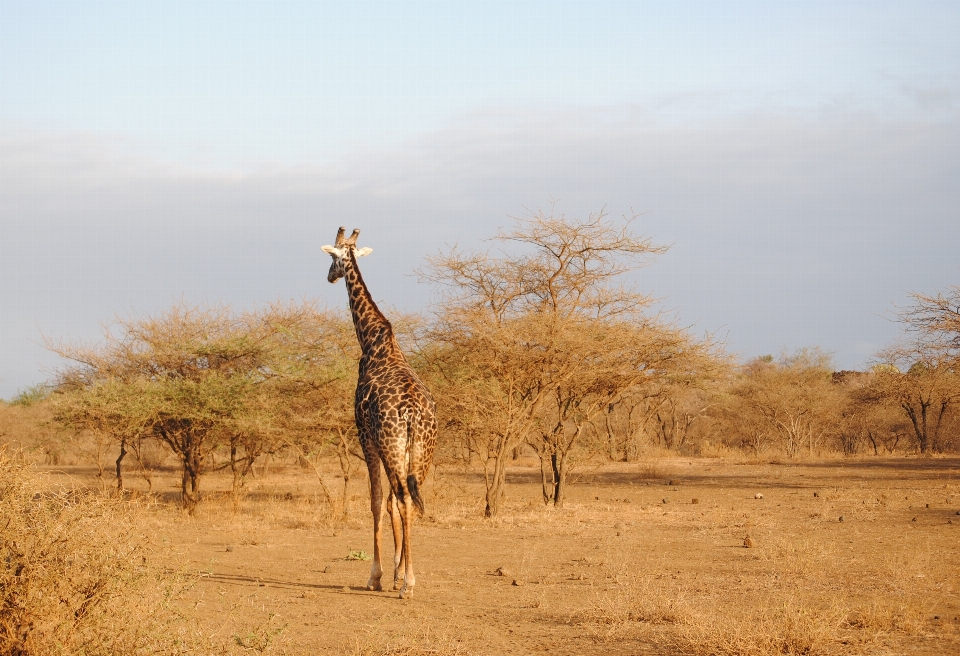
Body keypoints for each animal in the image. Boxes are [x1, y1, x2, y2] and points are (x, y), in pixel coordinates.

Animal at [324, 227, 440, 600]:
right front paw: (394, 569)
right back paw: (406, 577)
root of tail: (413, 414)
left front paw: (376, 575)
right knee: (410, 500)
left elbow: (376, 501)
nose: (330, 276)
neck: (373, 341)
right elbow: (388, 502)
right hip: (421, 452)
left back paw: (408, 585)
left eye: (333, 258)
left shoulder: (364, 435)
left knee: (402, 500)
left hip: (391, 445)